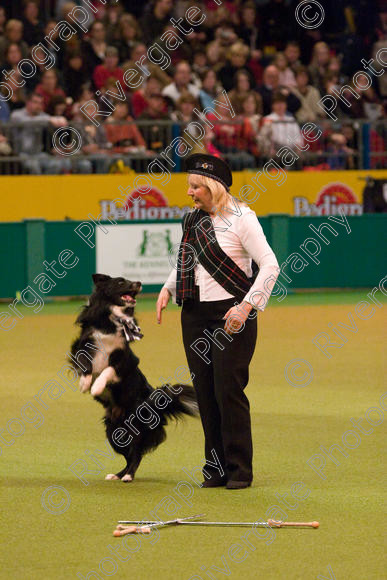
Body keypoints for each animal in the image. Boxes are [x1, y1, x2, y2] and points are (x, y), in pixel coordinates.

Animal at [70, 274, 199, 482]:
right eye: (120, 282)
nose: (139, 283)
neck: (112, 319)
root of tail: (156, 402)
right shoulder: (82, 345)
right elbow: (85, 363)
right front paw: (85, 384)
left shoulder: (126, 359)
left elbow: (108, 370)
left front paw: (97, 387)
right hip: (114, 430)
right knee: (128, 454)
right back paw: (117, 475)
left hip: (136, 425)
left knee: (136, 453)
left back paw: (128, 476)